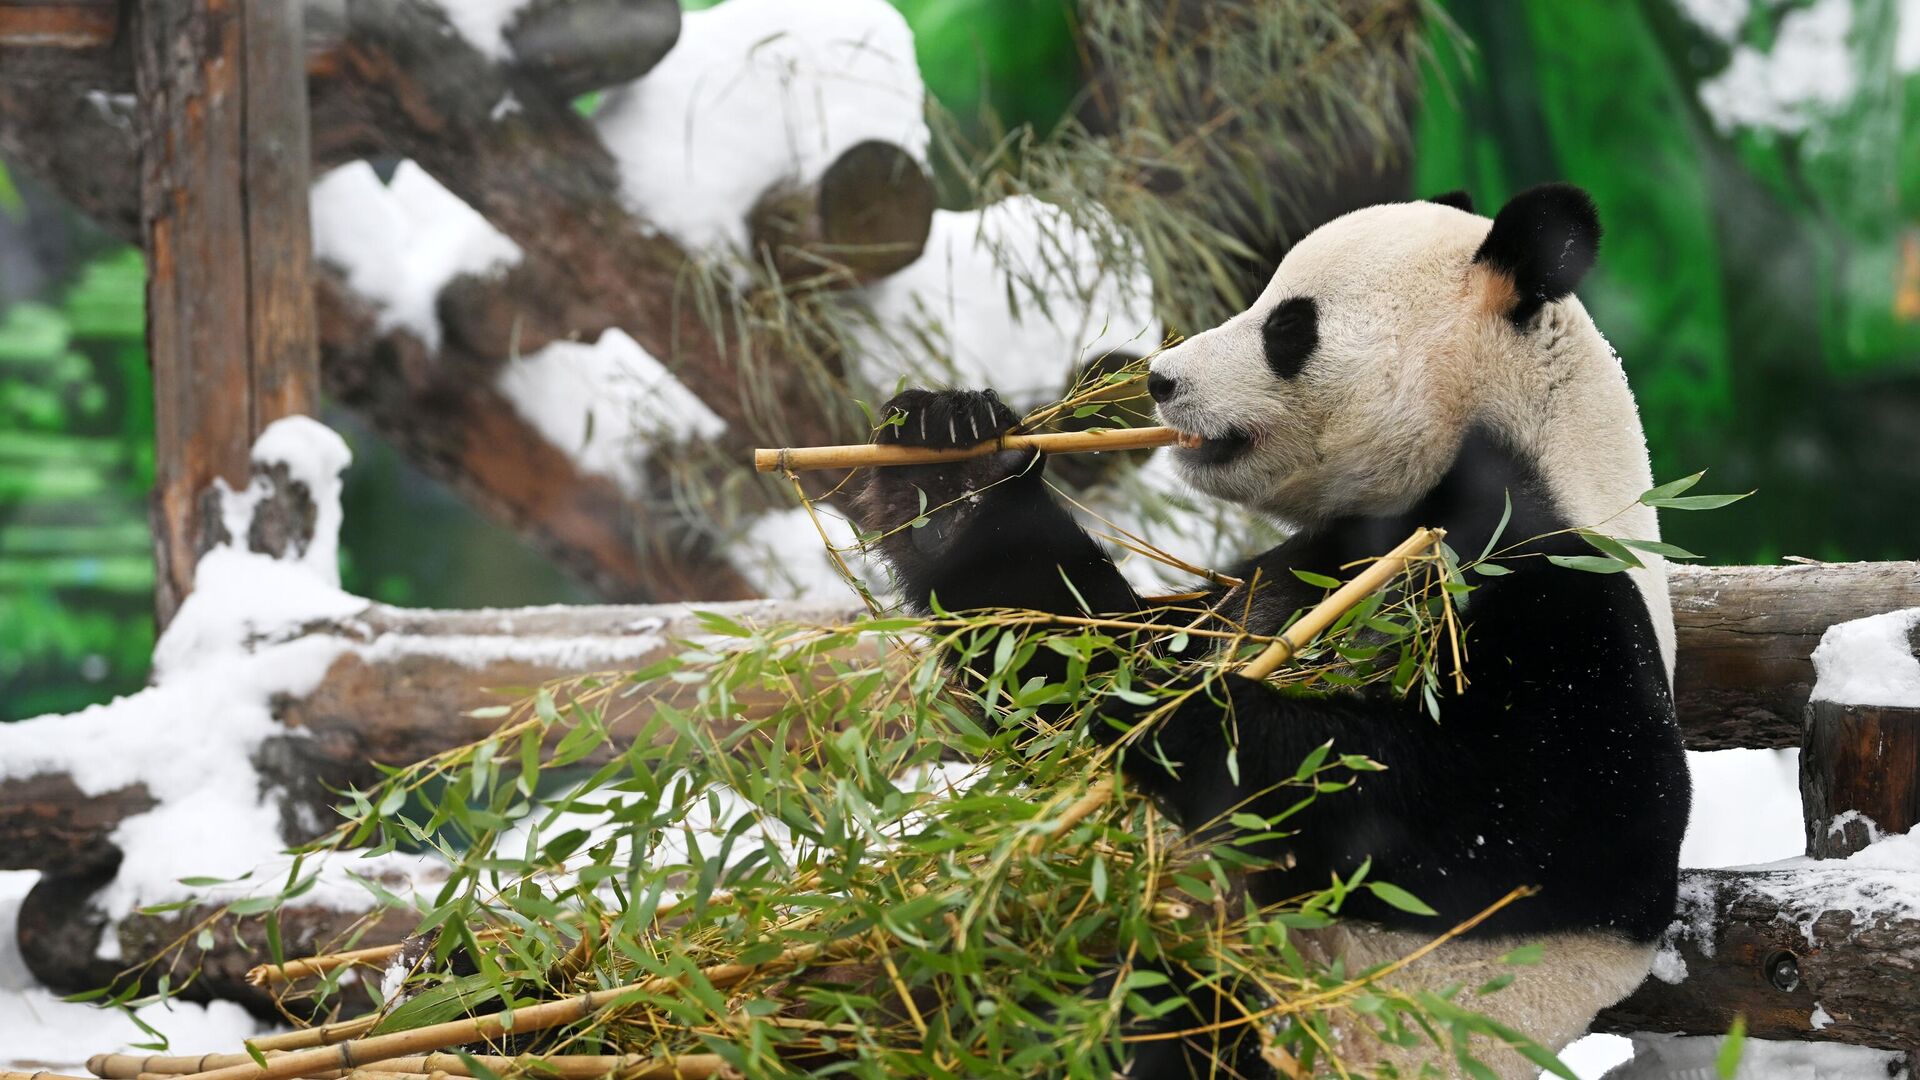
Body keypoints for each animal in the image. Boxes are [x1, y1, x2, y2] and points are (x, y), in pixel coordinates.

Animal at [856, 187, 1681, 1076]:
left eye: (1288, 327)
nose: (1161, 379)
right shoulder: (1288, 571)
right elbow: (1070, 647)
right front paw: (949, 461)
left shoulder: (1559, 587)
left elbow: (1547, 812)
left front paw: (1184, 714)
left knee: (1145, 1016)